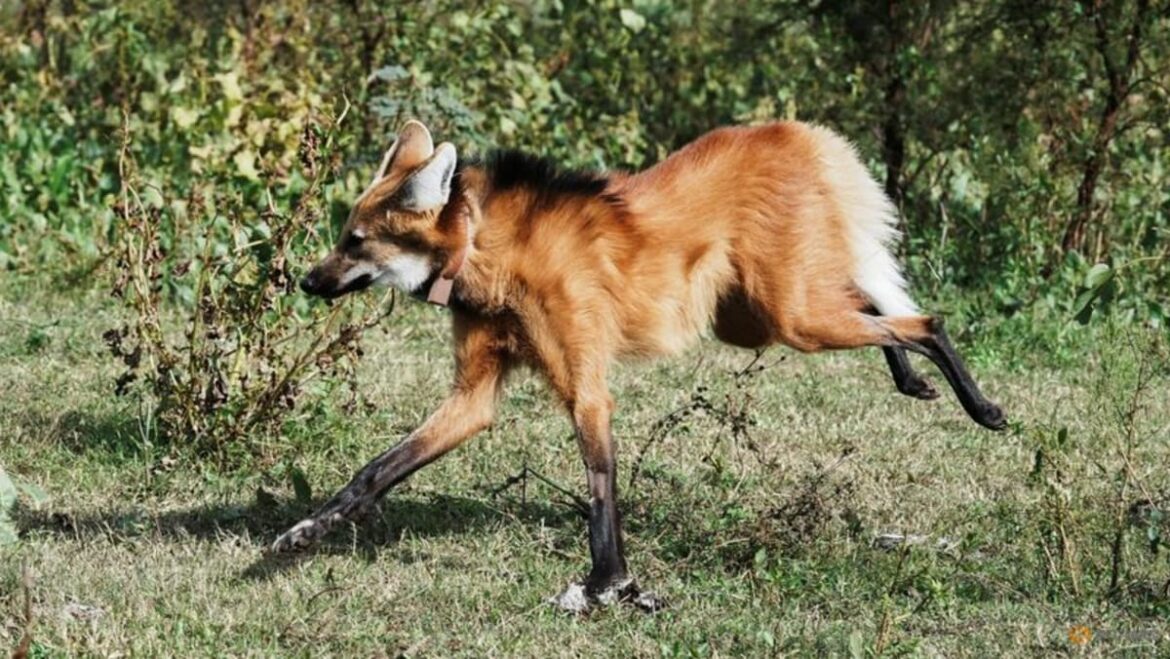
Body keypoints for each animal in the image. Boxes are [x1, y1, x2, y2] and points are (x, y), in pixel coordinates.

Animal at [275, 119, 1006, 612]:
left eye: (354, 241)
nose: (307, 282)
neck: (489, 254)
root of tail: (797, 131)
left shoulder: (587, 390)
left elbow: (601, 490)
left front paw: (609, 584)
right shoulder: (474, 398)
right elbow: (375, 471)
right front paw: (303, 532)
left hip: (790, 318)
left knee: (925, 321)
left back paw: (980, 406)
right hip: (755, 319)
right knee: (876, 300)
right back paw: (910, 378)